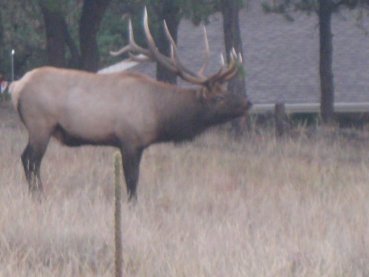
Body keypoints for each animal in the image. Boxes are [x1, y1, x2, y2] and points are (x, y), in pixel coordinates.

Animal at [10, 9, 250, 201]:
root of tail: (17, 87)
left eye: (226, 91)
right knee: (30, 160)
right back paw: (39, 196)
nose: (247, 103)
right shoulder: (129, 139)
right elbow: (132, 181)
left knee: (27, 159)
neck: (158, 114)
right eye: (218, 97)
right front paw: (131, 205)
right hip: (40, 125)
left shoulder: (138, 144)